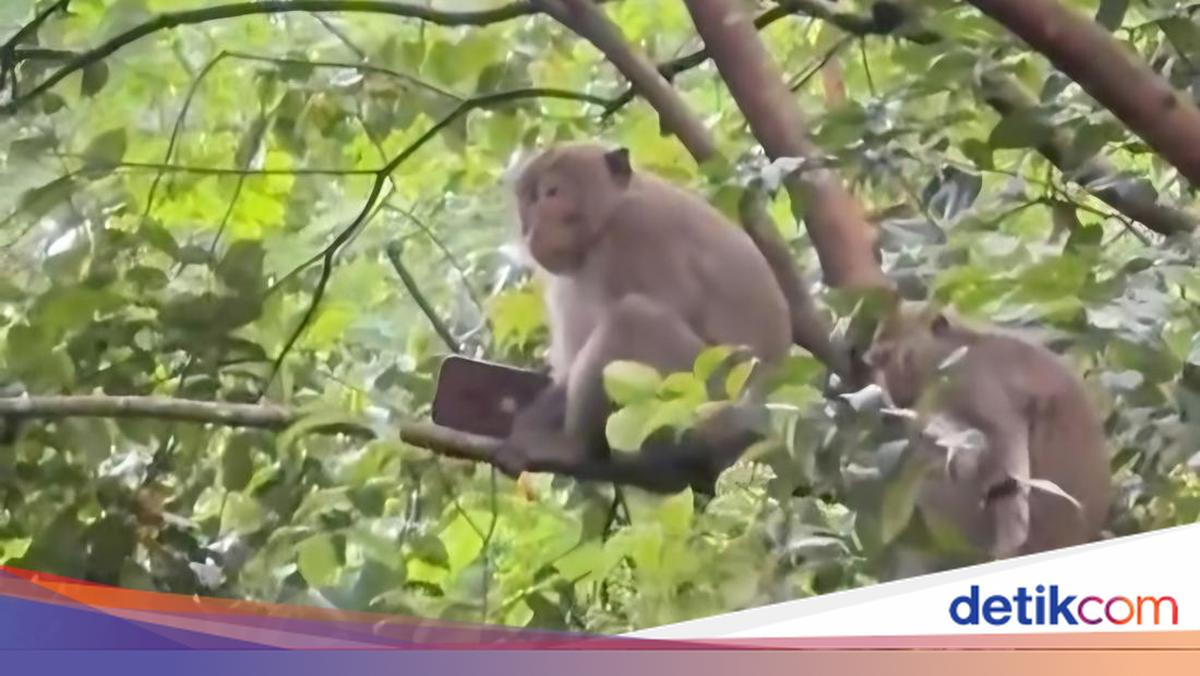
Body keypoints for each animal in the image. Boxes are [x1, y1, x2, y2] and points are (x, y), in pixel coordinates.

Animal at [492, 142, 794, 494]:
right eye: (530, 199)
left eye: (552, 193)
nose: (535, 226)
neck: (607, 220)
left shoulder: (640, 233)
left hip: (706, 400)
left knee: (633, 318)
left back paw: (576, 446)